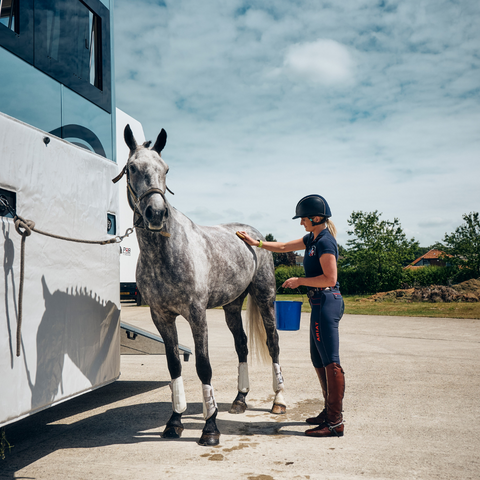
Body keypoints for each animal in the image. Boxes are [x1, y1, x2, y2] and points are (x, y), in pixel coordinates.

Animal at [114, 124, 286, 446]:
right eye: (132, 168)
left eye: (166, 169)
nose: (157, 213)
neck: (165, 254)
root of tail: (255, 235)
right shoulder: (161, 316)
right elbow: (174, 365)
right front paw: (174, 421)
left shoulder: (197, 314)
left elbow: (203, 365)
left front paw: (210, 428)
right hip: (232, 307)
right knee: (241, 345)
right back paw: (240, 400)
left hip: (264, 296)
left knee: (273, 343)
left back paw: (279, 400)